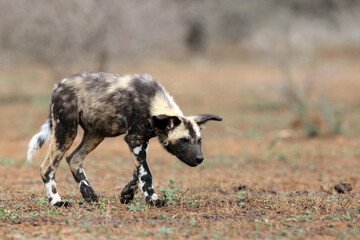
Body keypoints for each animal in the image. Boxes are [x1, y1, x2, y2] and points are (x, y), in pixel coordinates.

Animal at [26, 72, 222, 207]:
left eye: (199, 140)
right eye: (183, 140)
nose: (200, 158)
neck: (152, 104)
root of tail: (59, 85)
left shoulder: (143, 140)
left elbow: (137, 172)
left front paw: (127, 195)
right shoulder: (134, 139)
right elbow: (146, 173)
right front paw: (153, 199)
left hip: (96, 134)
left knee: (74, 158)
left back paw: (89, 194)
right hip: (67, 131)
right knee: (47, 167)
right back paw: (56, 201)